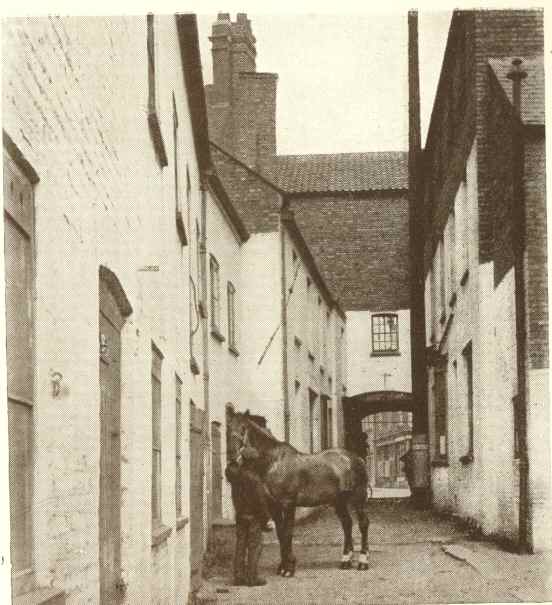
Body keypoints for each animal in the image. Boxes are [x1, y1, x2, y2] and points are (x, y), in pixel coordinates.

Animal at [226, 406, 368, 576]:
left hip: (359, 497)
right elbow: (280, 533)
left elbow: (288, 533)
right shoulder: (274, 506)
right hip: (339, 501)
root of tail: (356, 459)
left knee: (363, 524)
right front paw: (282, 566)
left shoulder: (288, 504)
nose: (232, 458)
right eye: (228, 428)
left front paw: (289, 568)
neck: (274, 462)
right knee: (347, 523)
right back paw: (345, 560)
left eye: (244, 429)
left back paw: (363, 562)